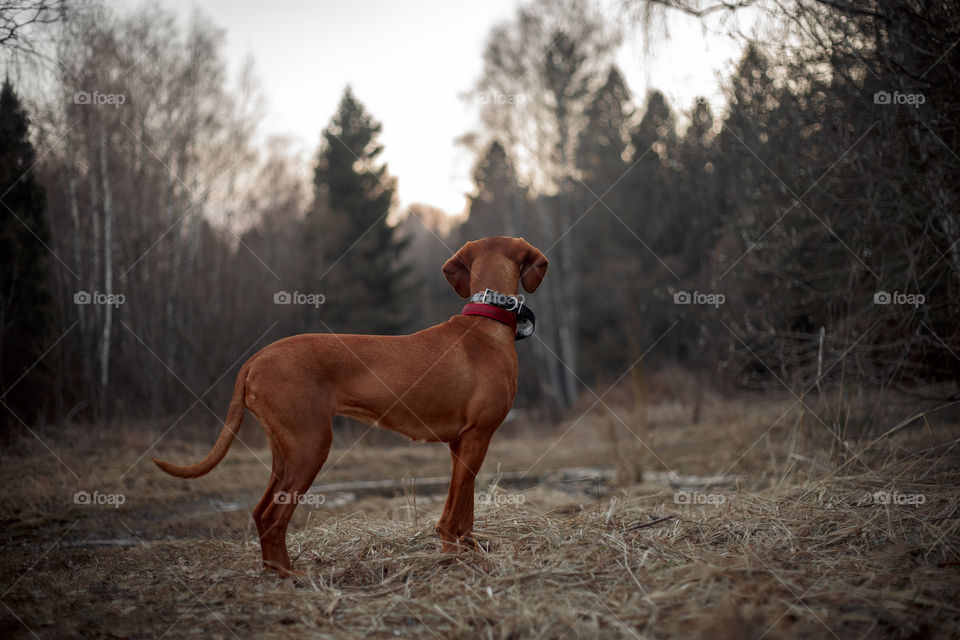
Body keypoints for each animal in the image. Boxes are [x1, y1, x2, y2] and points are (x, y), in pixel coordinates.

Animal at [155, 235, 552, 576]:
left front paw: (467, 553)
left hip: (285, 451)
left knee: (259, 511)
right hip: (312, 446)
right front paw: (454, 560)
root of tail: (254, 360)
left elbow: (465, 511)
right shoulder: (477, 437)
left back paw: (273, 571)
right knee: (272, 518)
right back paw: (290, 576)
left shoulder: (462, 444)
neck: (486, 322)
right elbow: (453, 516)